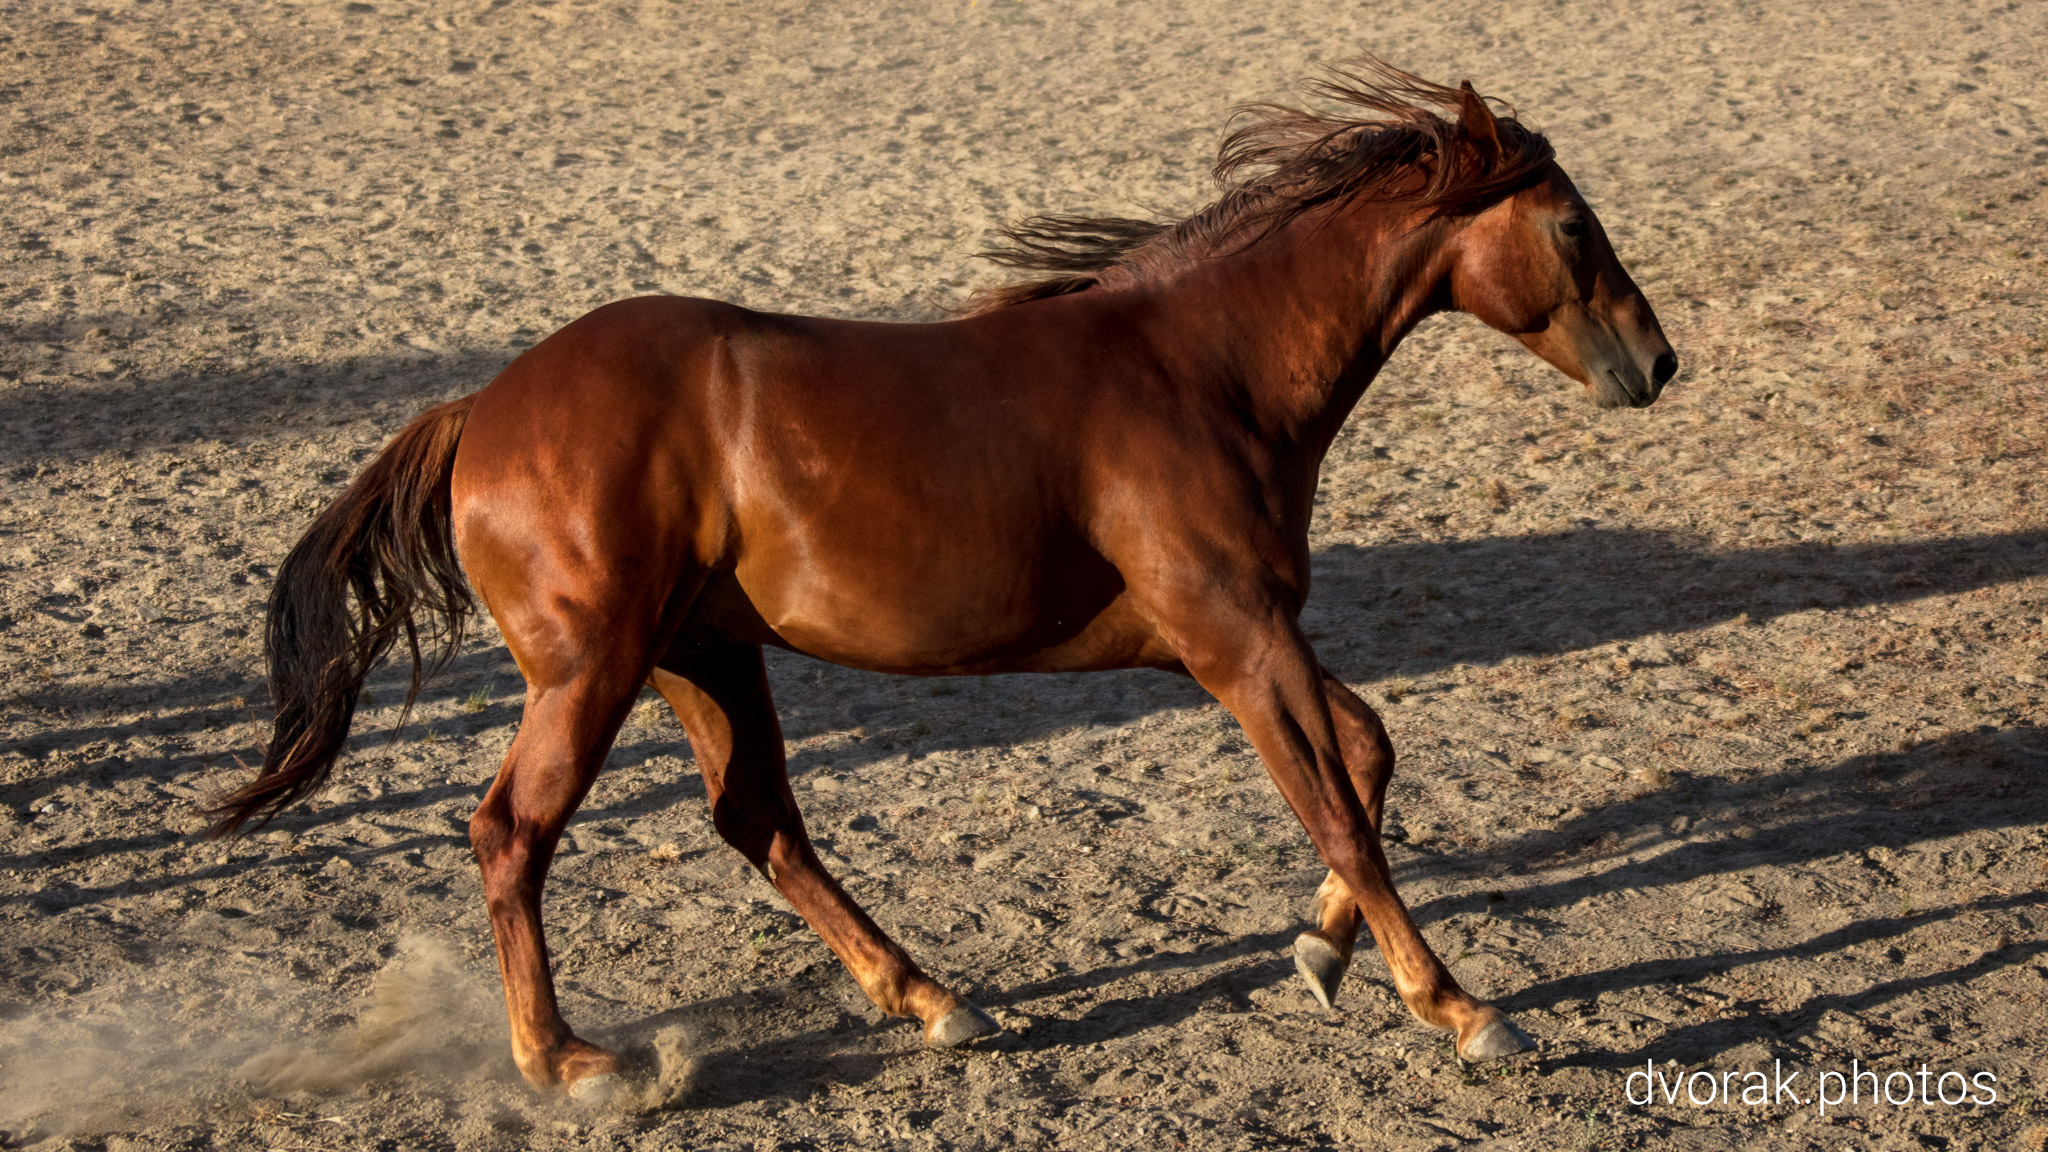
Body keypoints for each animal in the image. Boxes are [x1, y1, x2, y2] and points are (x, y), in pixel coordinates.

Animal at [210, 60, 1676, 1100]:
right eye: (1571, 225)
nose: (1658, 363)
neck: (1205, 371)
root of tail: (481, 410)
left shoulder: (1238, 635)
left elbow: (1368, 758)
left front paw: (1320, 955)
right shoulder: (1231, 640)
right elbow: (1339, 812)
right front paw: (1461, 1010)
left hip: (703, 655)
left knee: (759, 822)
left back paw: (932, 1000)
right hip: (596, 668)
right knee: (514, 830)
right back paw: (572, 1065)